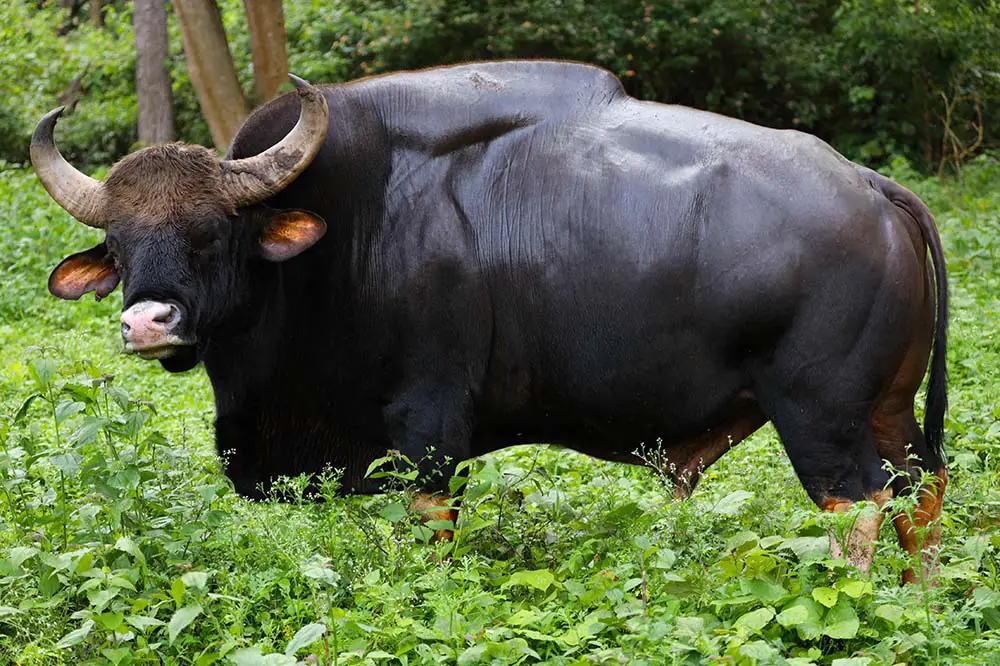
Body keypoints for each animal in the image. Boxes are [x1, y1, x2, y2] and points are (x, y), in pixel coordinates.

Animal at [35, 62, 948, 580]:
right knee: (922, 495)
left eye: (212, 233)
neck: (348, 234)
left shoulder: (426, 431)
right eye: (119, 245)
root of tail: (870, 188)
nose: (149, 323)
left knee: (860, 506)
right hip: (888, 409)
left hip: (820, 416)